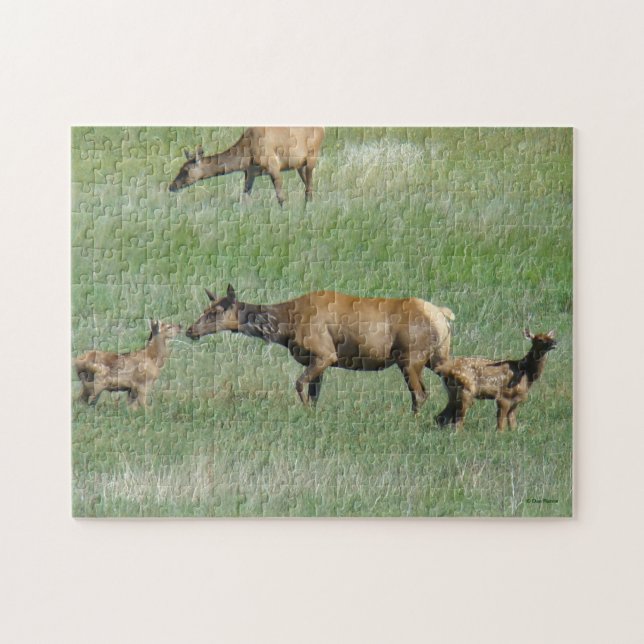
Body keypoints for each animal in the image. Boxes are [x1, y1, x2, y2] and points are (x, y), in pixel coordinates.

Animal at [168, 127, 325, 205]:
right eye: (180, 168)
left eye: (186, 170)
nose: (171, 186)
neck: (246, 155)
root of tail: (323, 129)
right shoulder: (250, 172)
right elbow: (245, 198)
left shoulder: (274, 166)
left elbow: (281, 198)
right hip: (300, 164)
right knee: (309, 187)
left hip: (312, 156)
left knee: (309, 188)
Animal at [186, 285, 454, 413]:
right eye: (204, 309)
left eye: (215, 312)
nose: (190, 330)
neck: (285, 326)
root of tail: (442, 315)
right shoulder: (318, 360)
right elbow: (314, 394)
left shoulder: (325, 354)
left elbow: (299, 385)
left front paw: (304, 411)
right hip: (436, 357)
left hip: (409, 358)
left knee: (420, 394)